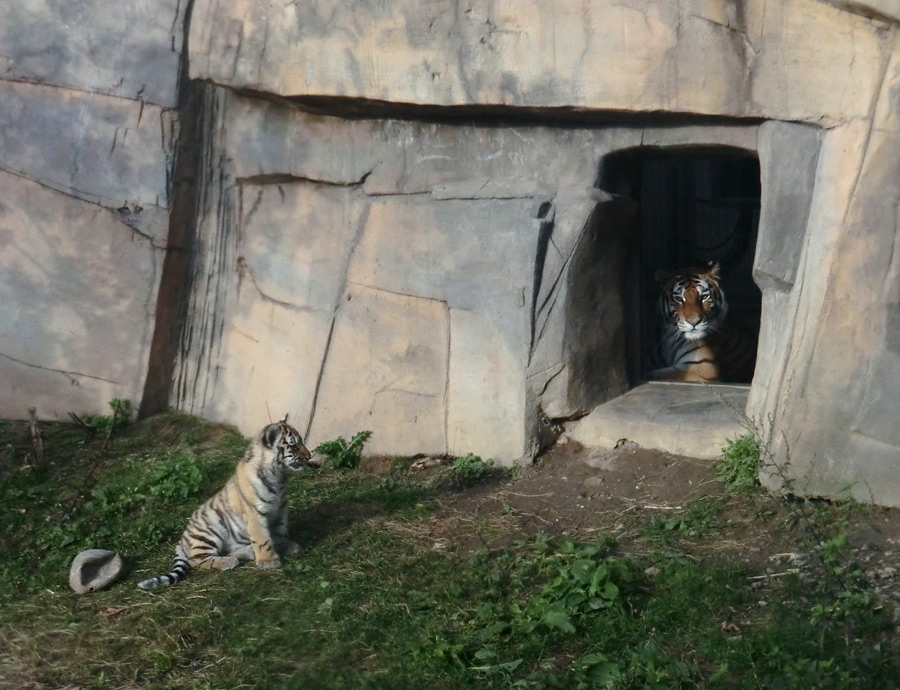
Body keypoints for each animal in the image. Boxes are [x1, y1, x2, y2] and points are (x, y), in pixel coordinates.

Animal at [136, 412, 312, 588]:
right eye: (294, 445)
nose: (309, 456)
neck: (279, 476)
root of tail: (183, 538)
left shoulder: (281, 509)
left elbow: (279, 531)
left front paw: (284, 546)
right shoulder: (255, 513)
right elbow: (263, 538)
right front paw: (269, 561)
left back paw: (248, 552)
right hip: (210, 530)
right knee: (196, 560)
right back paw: (229, 561)